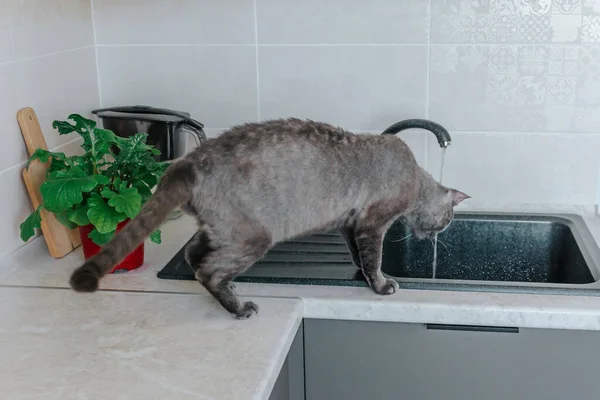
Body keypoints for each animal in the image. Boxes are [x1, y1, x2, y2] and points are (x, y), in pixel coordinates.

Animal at [69, 119, 468, 318]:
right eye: (447, 221)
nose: (438, 236)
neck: (415, 177)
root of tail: (188, 161)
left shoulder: (349, 224)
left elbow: (358, 255)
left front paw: (359, 272)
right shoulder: (373, 223)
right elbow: (374, 259)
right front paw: (382, 284)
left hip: (222, 229)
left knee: (193, 256)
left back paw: (227, 292)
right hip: (254, 236)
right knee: (208, 271)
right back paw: (238, 308)